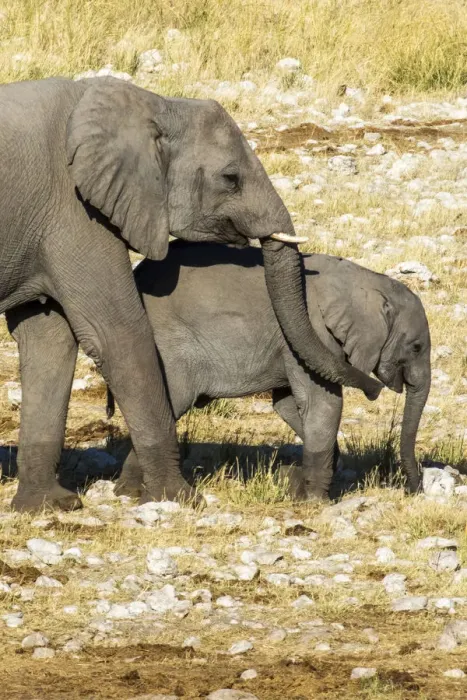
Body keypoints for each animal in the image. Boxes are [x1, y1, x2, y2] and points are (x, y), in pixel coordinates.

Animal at [0, 76, 381, 511]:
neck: (153, 104)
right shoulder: (75, 210)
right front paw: (178, 498)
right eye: (230, 179)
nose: (375, 389)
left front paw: (48, 507)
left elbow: (48, 338)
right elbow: (116, 333)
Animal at [7, 241, 430, 501]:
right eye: (416, 347)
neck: (367, 281)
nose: (414, 489)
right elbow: (321, 401)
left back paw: (128, 492)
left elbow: (291, 406)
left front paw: (298, 484)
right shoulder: (313, 331)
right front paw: (314, 499)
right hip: (171, 347)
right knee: (171, 401)